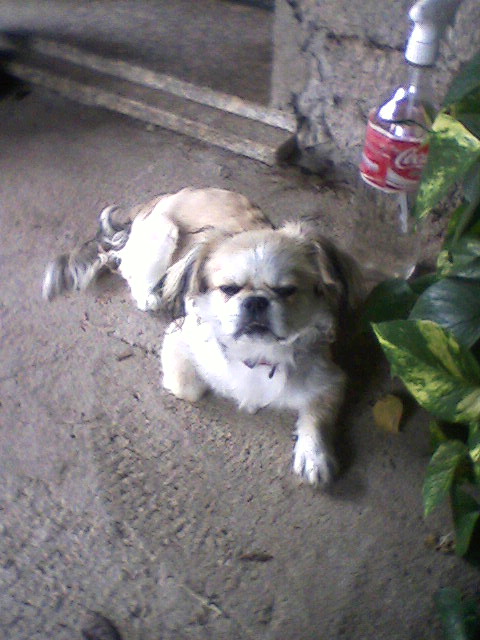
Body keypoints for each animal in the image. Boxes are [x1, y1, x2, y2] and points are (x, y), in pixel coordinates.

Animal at [43, 187, 363, 486]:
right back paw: (149, 295)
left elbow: (317, 415)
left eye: (287, 291)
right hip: (164, 232)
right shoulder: (178, 339)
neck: (256, 352)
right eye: (229, 289)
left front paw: (314, 455)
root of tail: (166, 195)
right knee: (124, 266)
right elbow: (189, 388)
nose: (255, 302)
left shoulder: (330, 378)